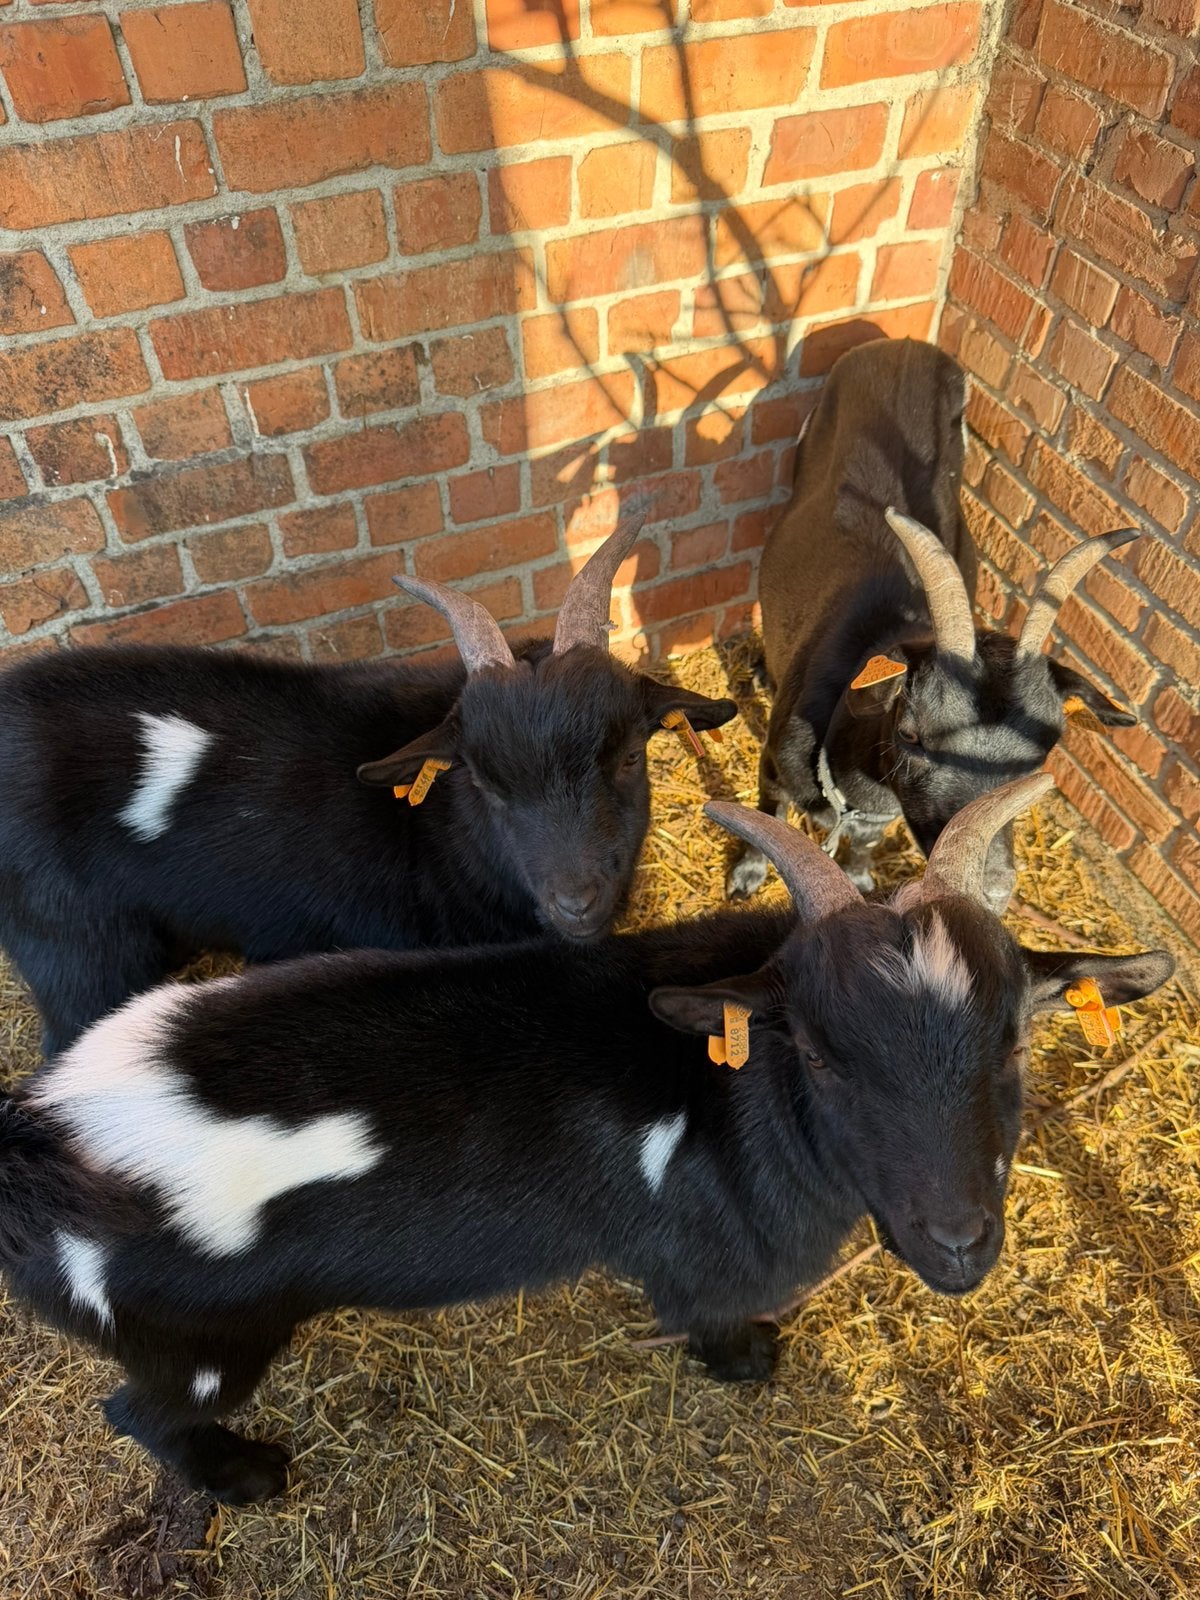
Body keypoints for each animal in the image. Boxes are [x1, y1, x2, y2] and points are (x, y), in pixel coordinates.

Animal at [0, 772, 1173, 1502]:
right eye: (820, 1053)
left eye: (1016, 1038)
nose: (960, 1242)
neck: (727, 1100)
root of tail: (44, 1132)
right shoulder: (709, 1260)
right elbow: (711, 1315)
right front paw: (749, 1359)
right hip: (198, 1339)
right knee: (138, 1413)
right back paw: (247, 1478)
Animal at [728, 337, 1141, 910]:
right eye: (911, 732)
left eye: (1035, 763)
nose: (991, 889)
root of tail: (907, 346)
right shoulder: (773, 765)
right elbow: (765, 816)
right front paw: (745, 877)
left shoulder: (879, 814)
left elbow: (866, 841)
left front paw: (860, 878)